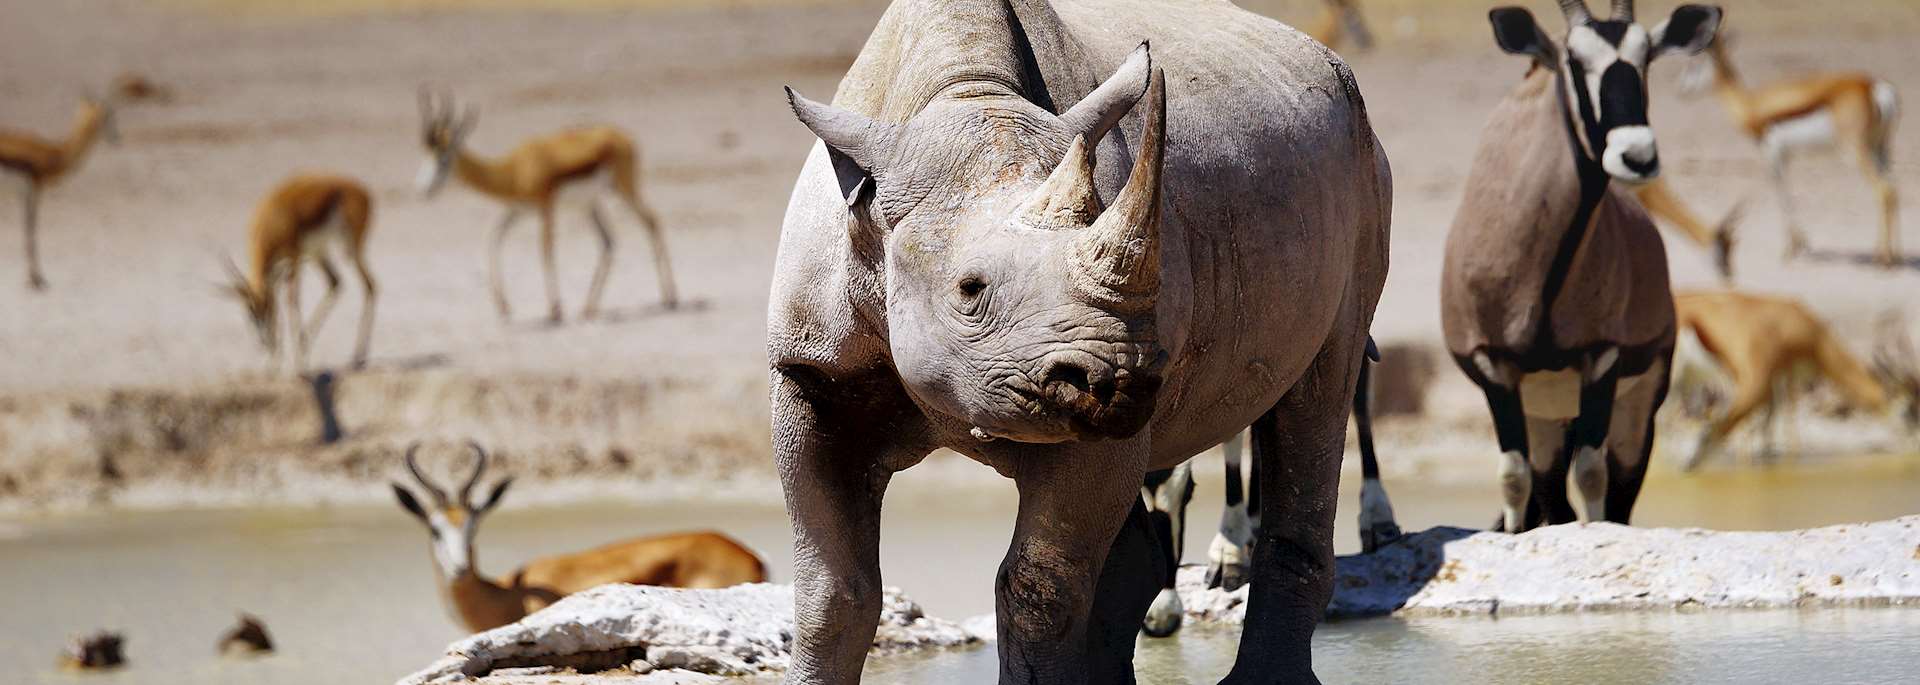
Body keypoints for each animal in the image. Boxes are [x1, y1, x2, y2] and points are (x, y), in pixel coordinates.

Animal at [769, 0, 1390, 681]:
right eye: (970, 289)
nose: (1118, 381)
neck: (962, 93)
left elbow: (1039, 586)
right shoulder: (808, 373)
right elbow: (833, 594)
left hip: (1362, 164)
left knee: (1323, 387)